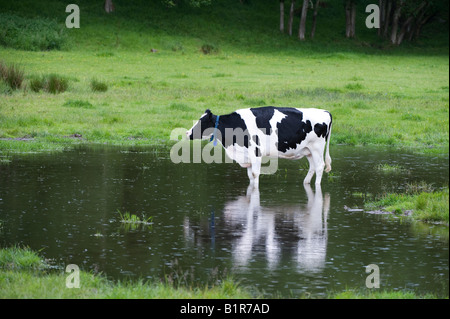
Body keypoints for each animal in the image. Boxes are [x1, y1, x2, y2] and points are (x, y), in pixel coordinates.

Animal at [185, 106, 332, 189]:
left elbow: (255, 174)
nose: (187, 133)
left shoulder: (255, 153)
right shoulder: (247, 157)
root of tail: (325, 111)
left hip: (317, 148)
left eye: (202, 122)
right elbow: (250, 176)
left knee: (320, 166)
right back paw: (306, 183)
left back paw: (317, 186)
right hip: (308, 150)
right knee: (313, 166)